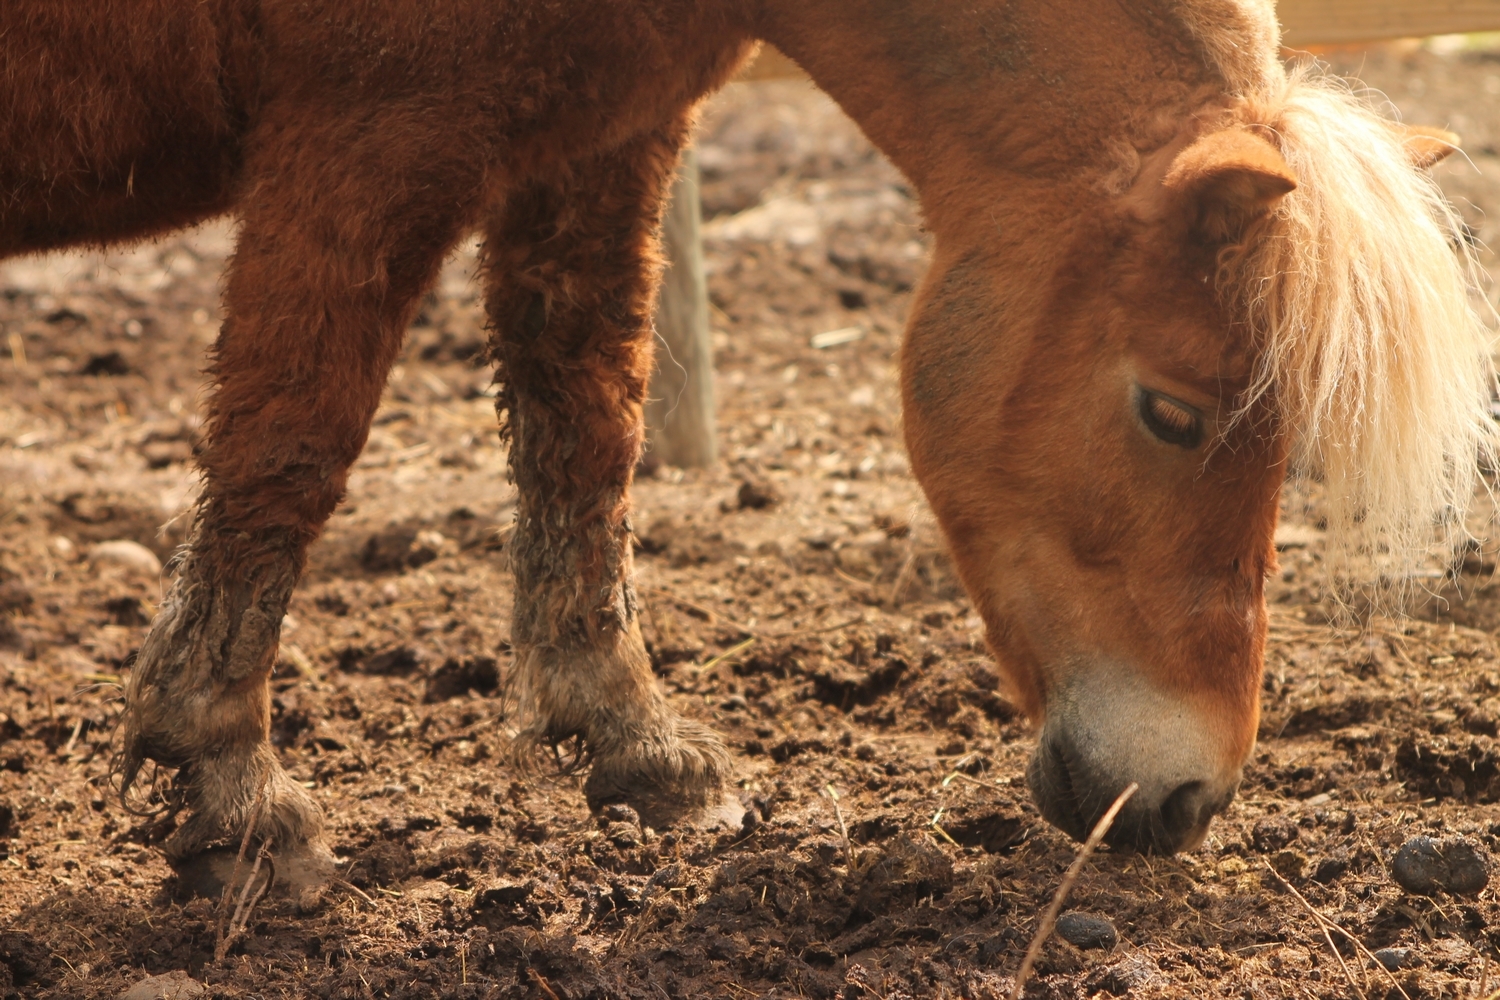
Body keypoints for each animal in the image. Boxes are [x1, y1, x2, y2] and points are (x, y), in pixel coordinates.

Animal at [5, 0, 1488, 881]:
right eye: (1172, 410)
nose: (1186, 799)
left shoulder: (598, 131)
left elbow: (587, 418)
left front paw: (640, 747)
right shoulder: (367, 138)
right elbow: (290, 439)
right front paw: (230, 783)